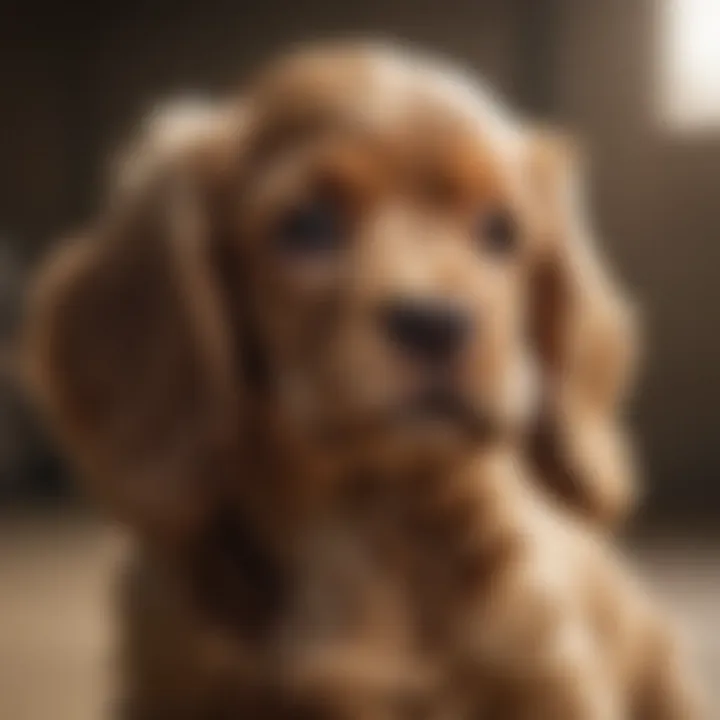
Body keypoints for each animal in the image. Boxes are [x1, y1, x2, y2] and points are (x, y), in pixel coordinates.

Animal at [25, 45, 696, 720]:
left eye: (500, 230)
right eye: (308, 225)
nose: (436, 322)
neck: (360, 517)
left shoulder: (544, 672)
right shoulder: (174, 681)